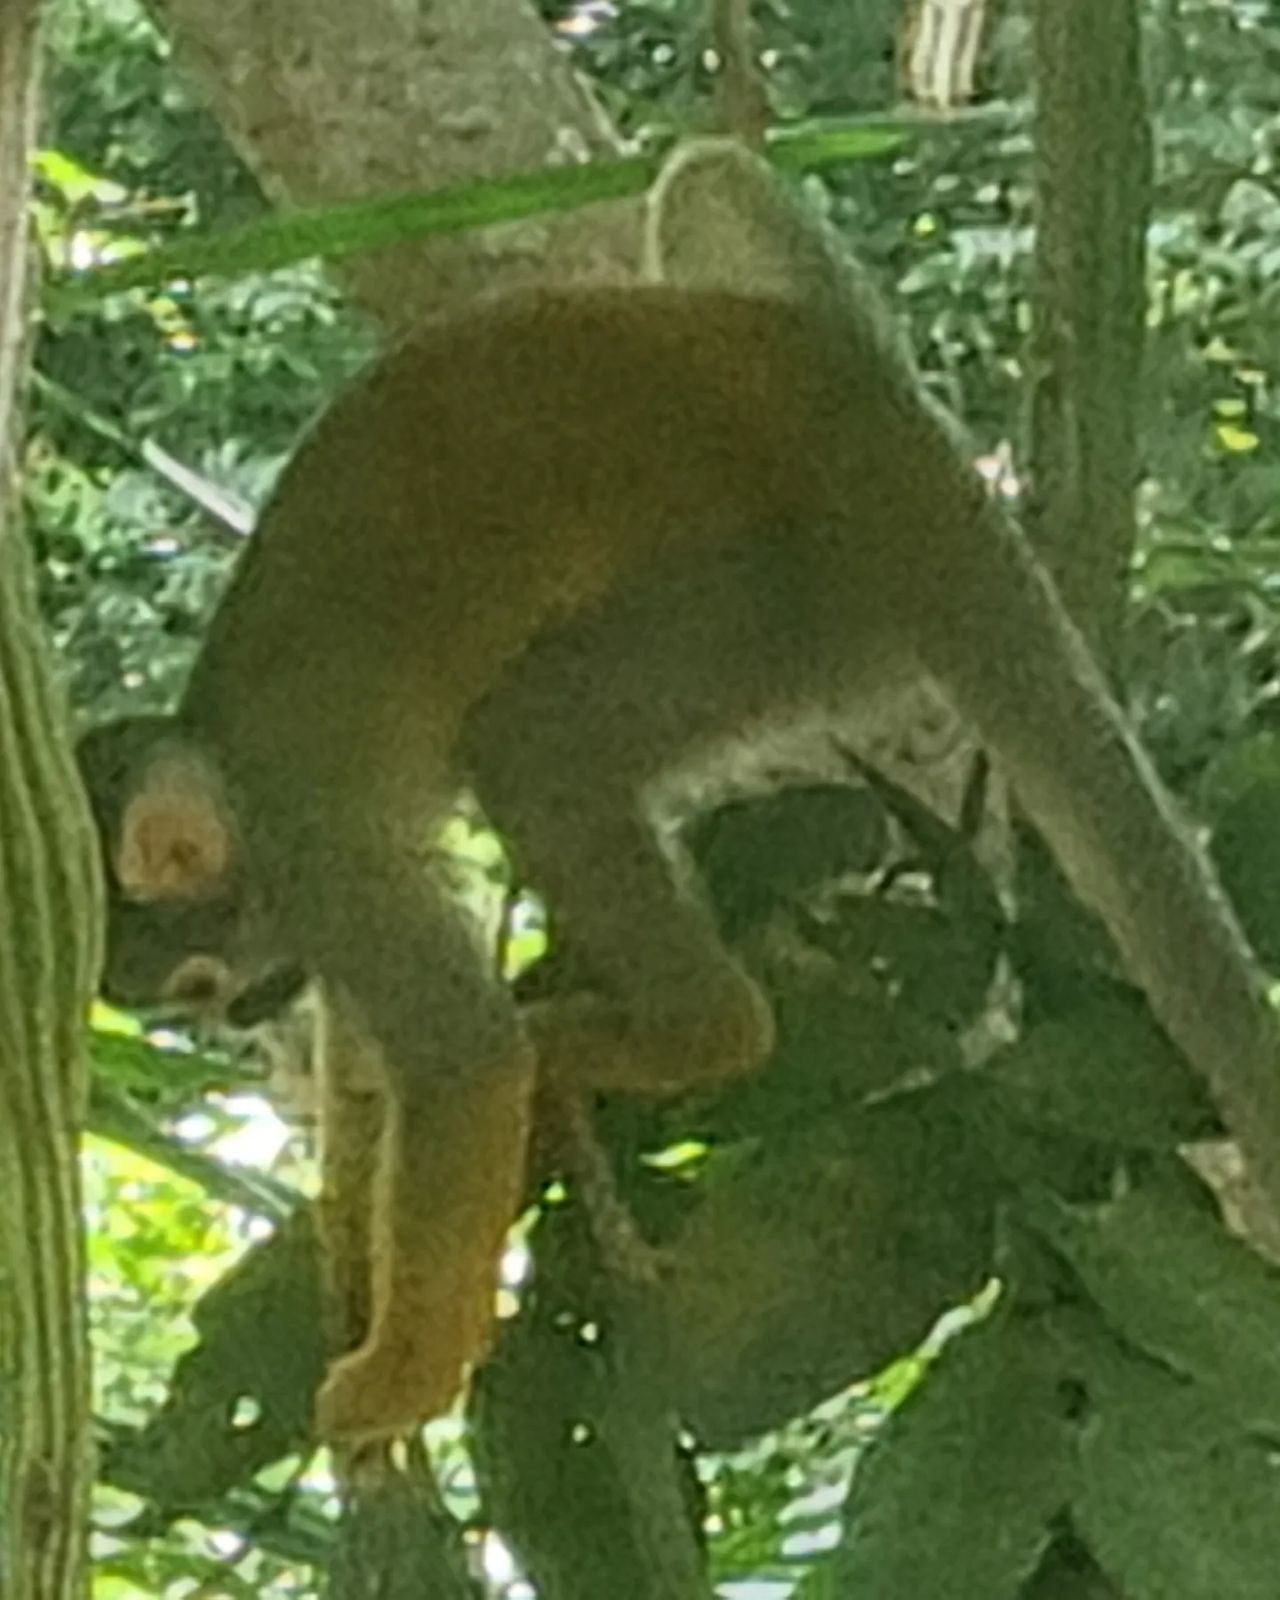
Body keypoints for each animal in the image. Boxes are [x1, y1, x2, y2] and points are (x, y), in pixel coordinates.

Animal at [76, 148, 1280, 1446]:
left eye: (197, 988)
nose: (240, 1019)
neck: (228, 769)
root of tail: (885, 454)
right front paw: (347, 1212)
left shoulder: (314, 848)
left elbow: (463, 1059)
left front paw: (394, 1378)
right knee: (707, 178)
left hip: (800, 600)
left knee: (534, 740)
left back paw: (684, 1029)